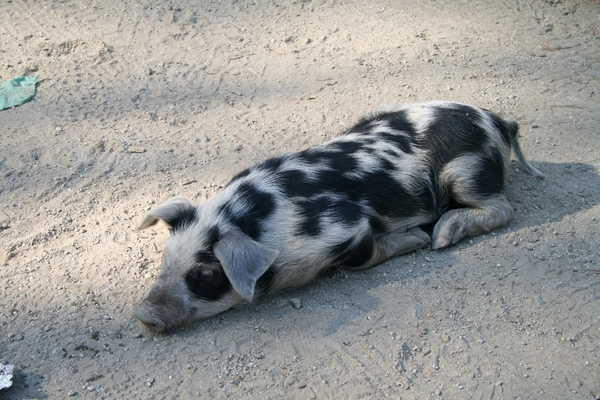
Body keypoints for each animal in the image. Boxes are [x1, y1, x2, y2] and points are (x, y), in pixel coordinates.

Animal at [135, 101, 544, 332]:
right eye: (165, 259)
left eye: (204, 274)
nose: (143, 314)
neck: (263, 219)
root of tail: (497, 120)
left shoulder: (345, 228)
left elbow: (362, 258)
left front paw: (421, 240)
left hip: (465, 173)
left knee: (503, 208)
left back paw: (442, 234)